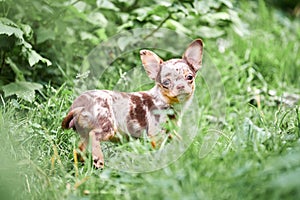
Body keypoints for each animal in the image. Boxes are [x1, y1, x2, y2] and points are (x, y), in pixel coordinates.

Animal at [63, 38, 204, 168]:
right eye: (166, 83)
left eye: (190, 77)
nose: (180, 86)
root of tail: (79, 106)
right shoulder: (156, 134)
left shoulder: (171, 132)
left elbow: (179, 141)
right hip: (107, 126)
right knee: (94, 136)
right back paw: (99, 160)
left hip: (84, 134)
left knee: (79, 150)